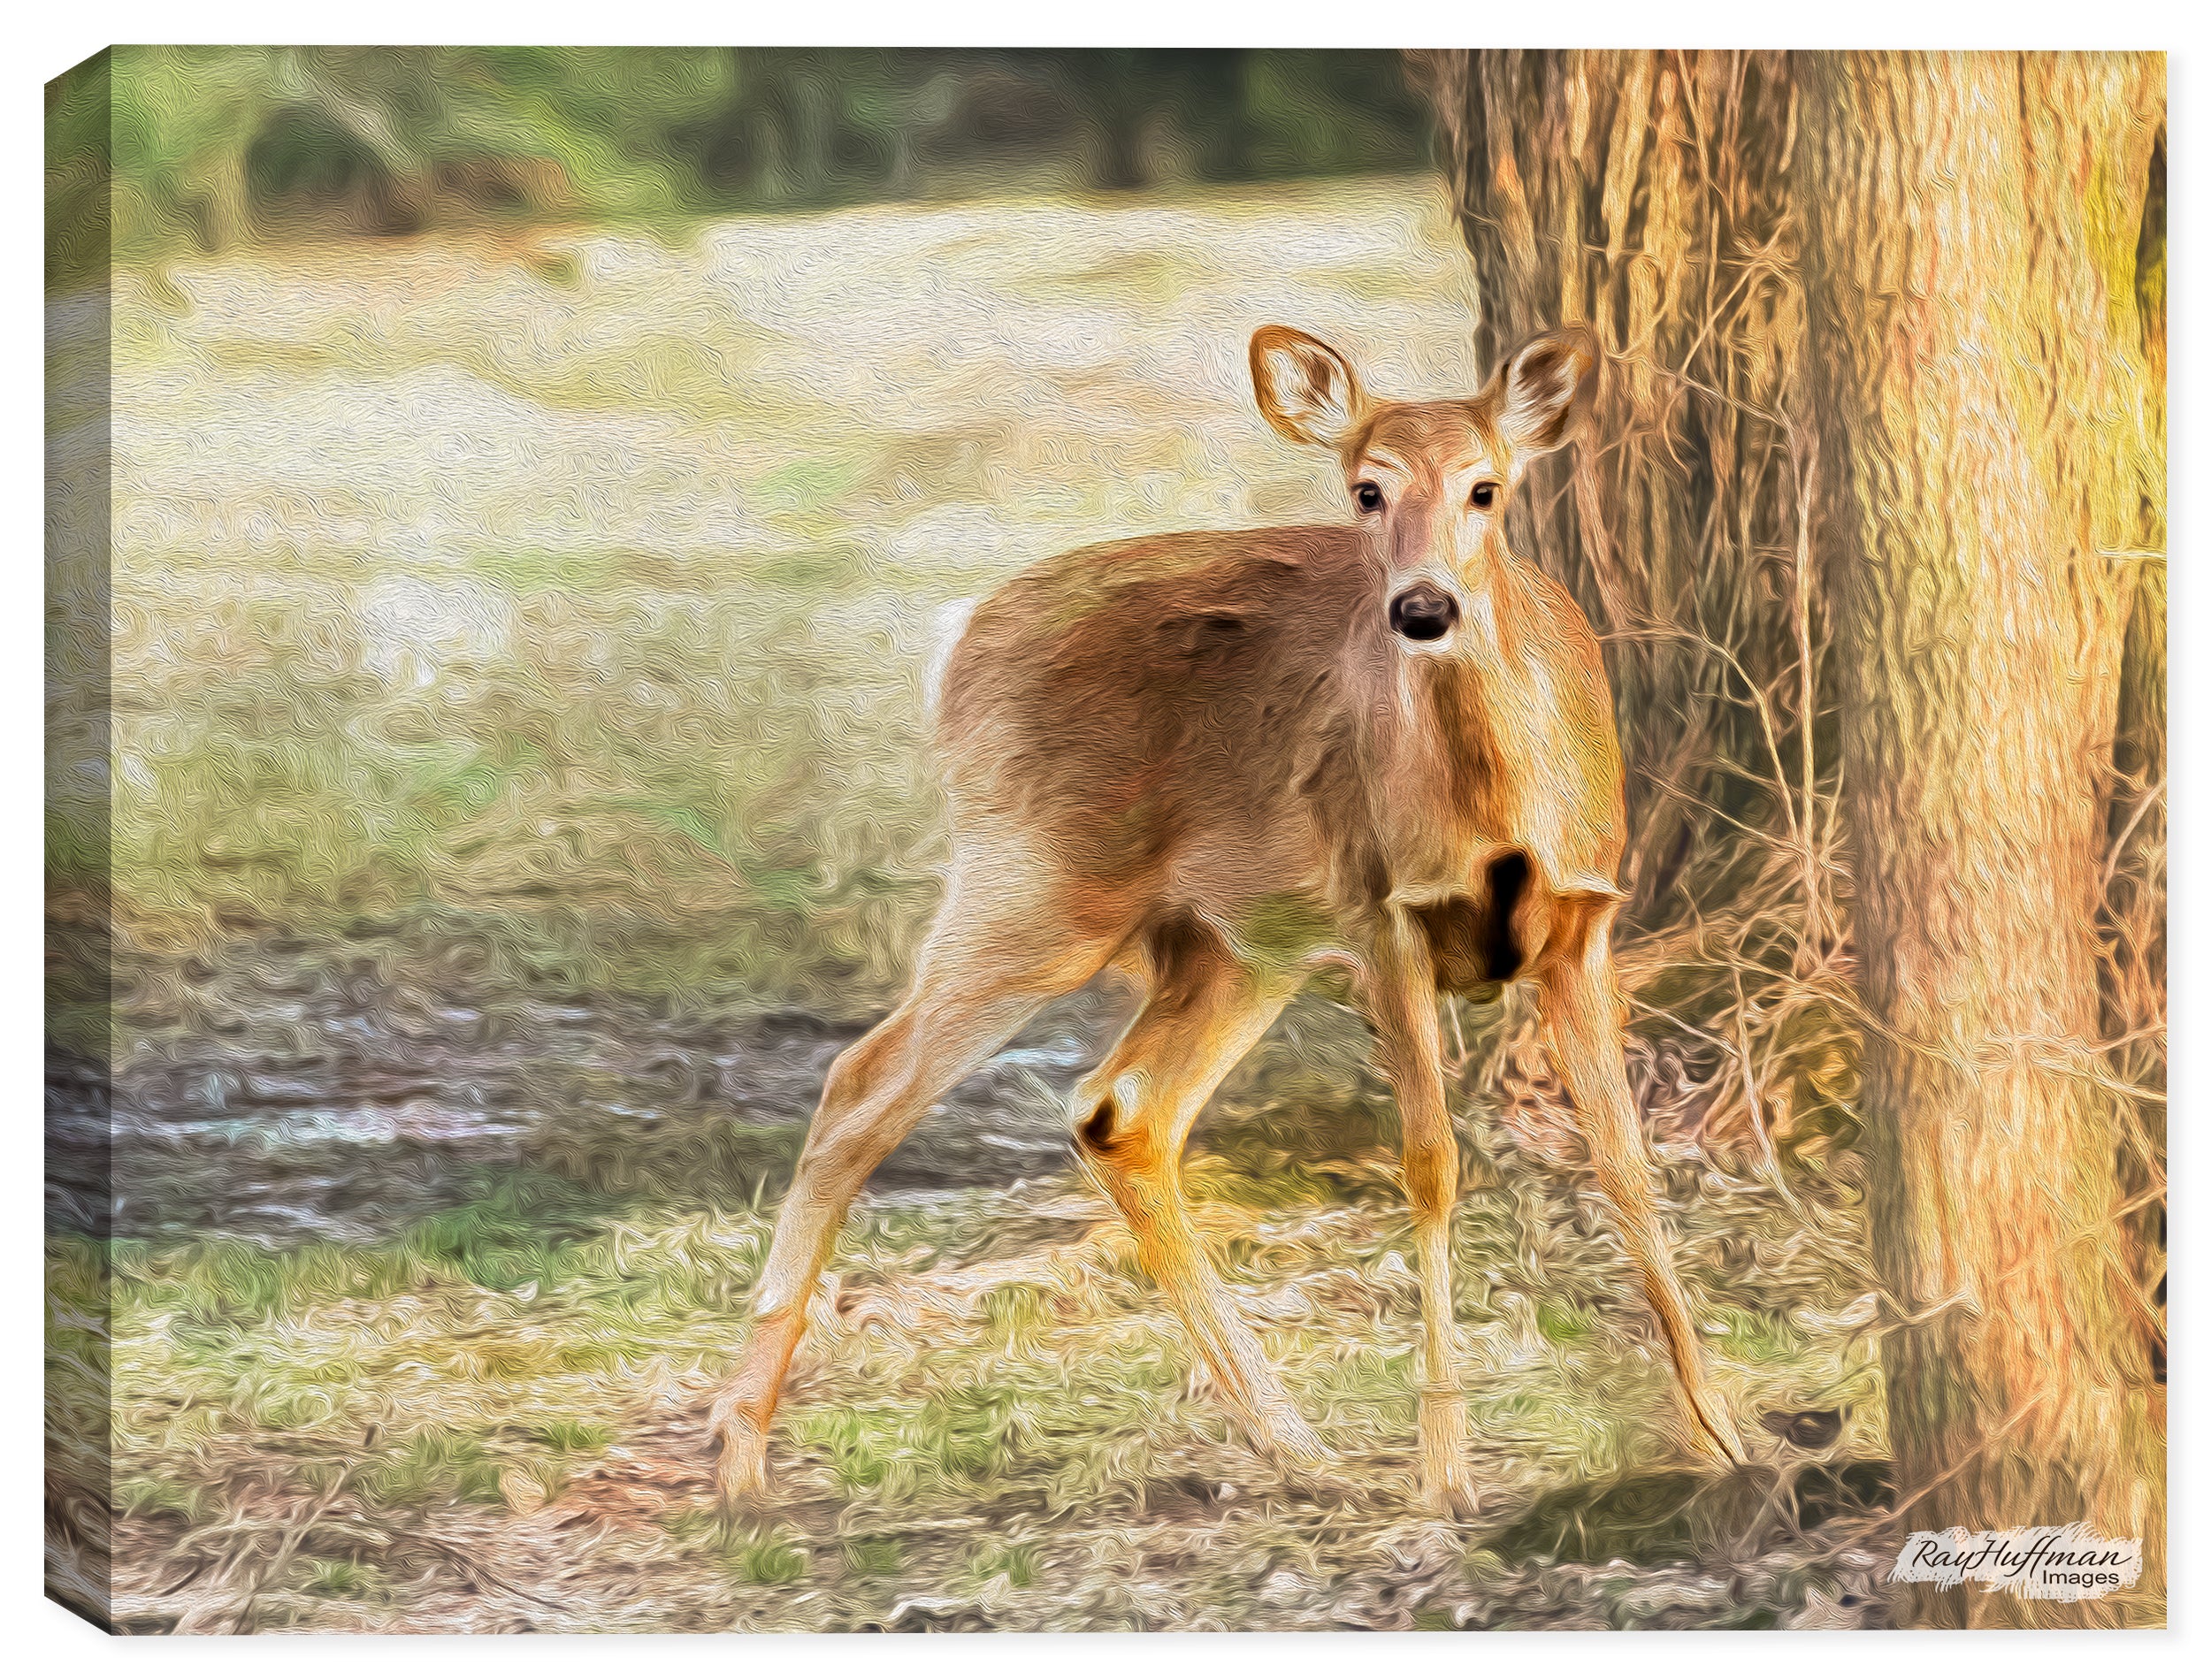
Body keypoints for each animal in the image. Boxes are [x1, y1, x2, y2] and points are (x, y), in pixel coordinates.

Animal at [709, 322, 1748, 1518]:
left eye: (1486, 487)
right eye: (1363, 489)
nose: (1422, 608)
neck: (1489, 803)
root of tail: (955, 638)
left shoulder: (1583, 919)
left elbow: (1626, 1164)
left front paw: (1722, 1432)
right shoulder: (1382, 914)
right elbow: (1430, 1163)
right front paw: (1446, 1472)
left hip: (1234, 942)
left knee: (1119, 1110)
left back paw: (1293, 1438)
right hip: (1041, 882)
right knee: (860, 1082)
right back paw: (739, 1453)